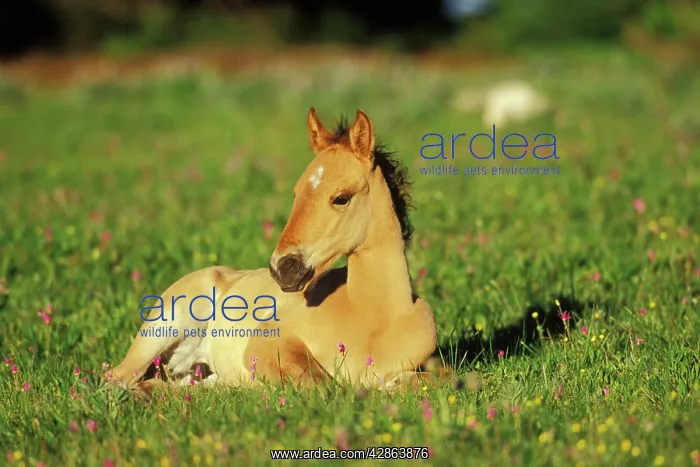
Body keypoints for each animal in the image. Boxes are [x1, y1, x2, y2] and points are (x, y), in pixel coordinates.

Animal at [109, 108, 439, 393]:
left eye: (341, 198)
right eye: (296, 193)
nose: (283, 267)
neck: (375, 320)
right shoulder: (268, 342)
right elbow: (323, 385)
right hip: (162, 329)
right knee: (118, 377)